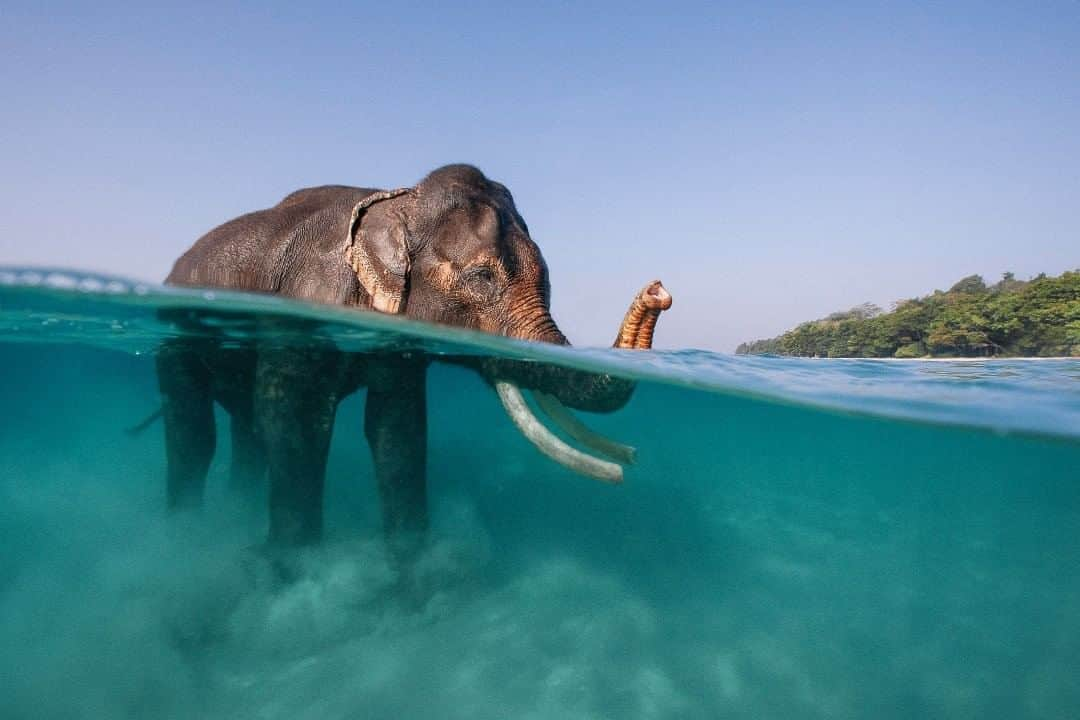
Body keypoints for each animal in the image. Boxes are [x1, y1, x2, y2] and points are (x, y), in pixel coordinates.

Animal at [156, 165, 669, 561]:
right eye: (482, 277)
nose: (658, 290)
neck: (396, 201)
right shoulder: (299, 323)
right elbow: (295, 422)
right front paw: (293, 568)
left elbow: (397, 430)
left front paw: (414, 575)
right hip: (174, 341)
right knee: (194, 435)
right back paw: (186, 532)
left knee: (247, 433)